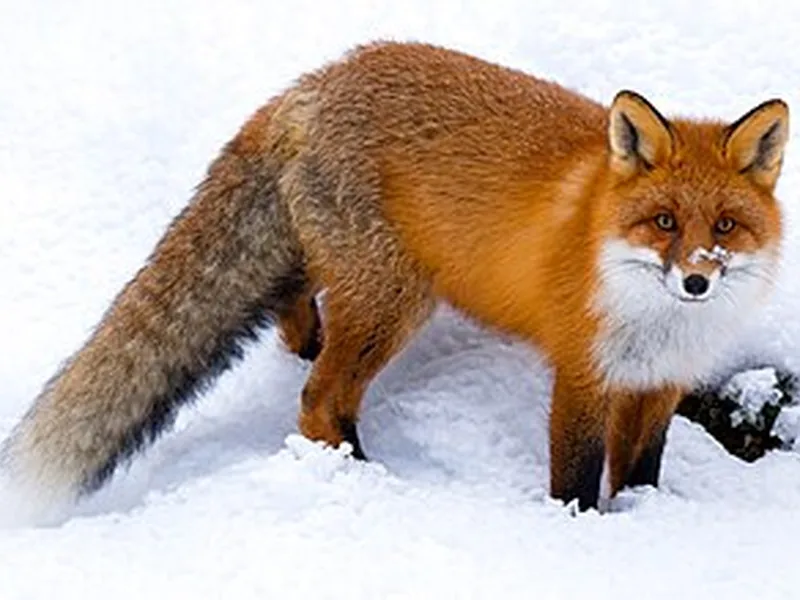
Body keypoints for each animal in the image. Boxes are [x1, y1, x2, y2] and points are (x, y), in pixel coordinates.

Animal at [1, 41, 789, 515]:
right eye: (663, 222)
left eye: (724, 227)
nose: (696, 282)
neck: (660, 324)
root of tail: (310, 84)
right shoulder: (583, 375)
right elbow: (575, 477)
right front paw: (580, 531)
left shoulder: (659, 384)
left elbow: (639, 472)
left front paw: (642, 519)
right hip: (395, 300)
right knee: (319, 401)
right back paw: (362, 476)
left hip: (349, 275)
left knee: (294, 312)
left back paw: (308, 346)